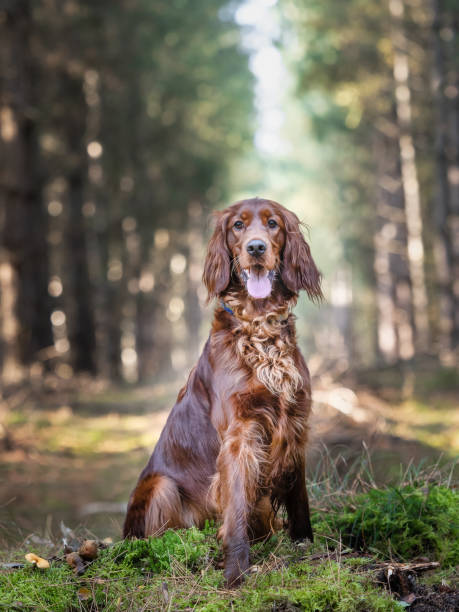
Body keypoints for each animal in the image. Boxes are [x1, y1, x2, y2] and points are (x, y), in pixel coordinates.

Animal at [123, 198, 324, 584]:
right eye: (238, 226)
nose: (256, 248)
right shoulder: (239, 433)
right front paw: (236, 571)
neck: (259, 328)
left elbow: (299, 497)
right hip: (161, 486)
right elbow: (236, 507)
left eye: (273, 224)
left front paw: (304, 543)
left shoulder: (295, 423)